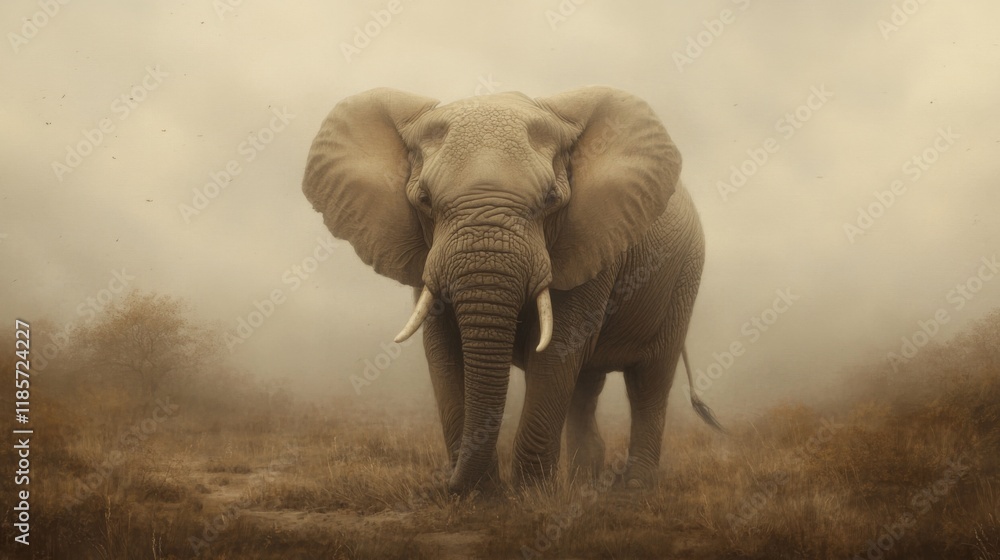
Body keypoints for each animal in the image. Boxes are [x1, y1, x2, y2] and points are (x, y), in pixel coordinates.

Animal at [302, 86, 723, 494]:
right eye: (424, 201)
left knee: (649, 381)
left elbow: (557, 350)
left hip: (684, 278)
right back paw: (584, 483)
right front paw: (482, 494)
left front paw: (529, 496)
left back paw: (635, 489)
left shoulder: (589, 241)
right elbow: (442, 350)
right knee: (587, 386)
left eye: (551, 200)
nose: (444, 484)